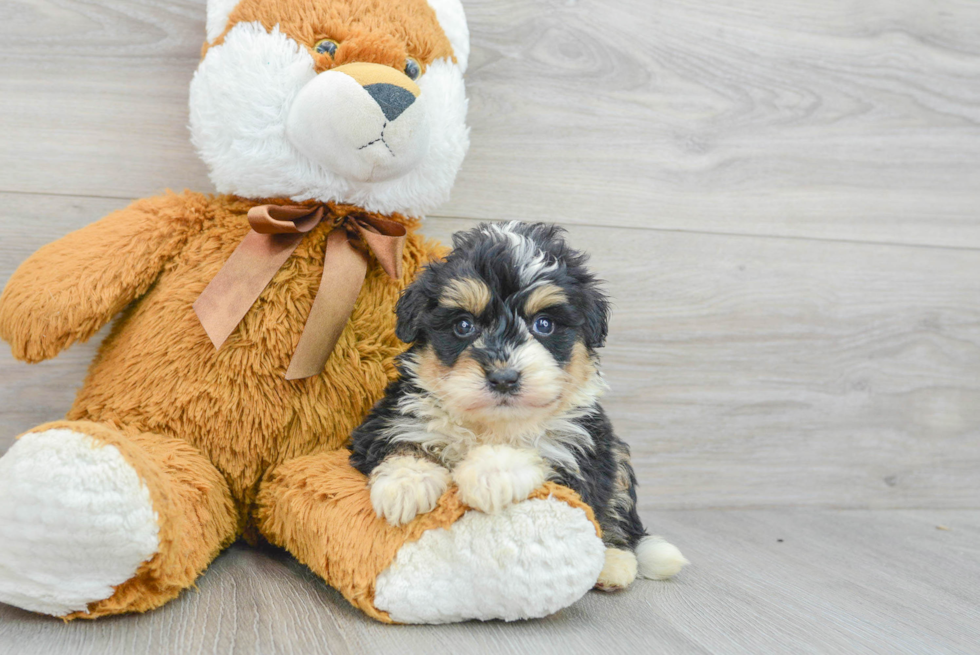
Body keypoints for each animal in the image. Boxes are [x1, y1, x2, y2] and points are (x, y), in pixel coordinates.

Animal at [348, 223, 684, 592]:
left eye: (544, 324)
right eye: (463, 325)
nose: (504, 378)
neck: (492, 425)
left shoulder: (583, 451)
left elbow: (542, 454)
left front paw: (491, 474)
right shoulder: (387, 420)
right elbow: (403, 442)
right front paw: (406, 485)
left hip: (616, 456)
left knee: (616, 514)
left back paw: (615, 561)